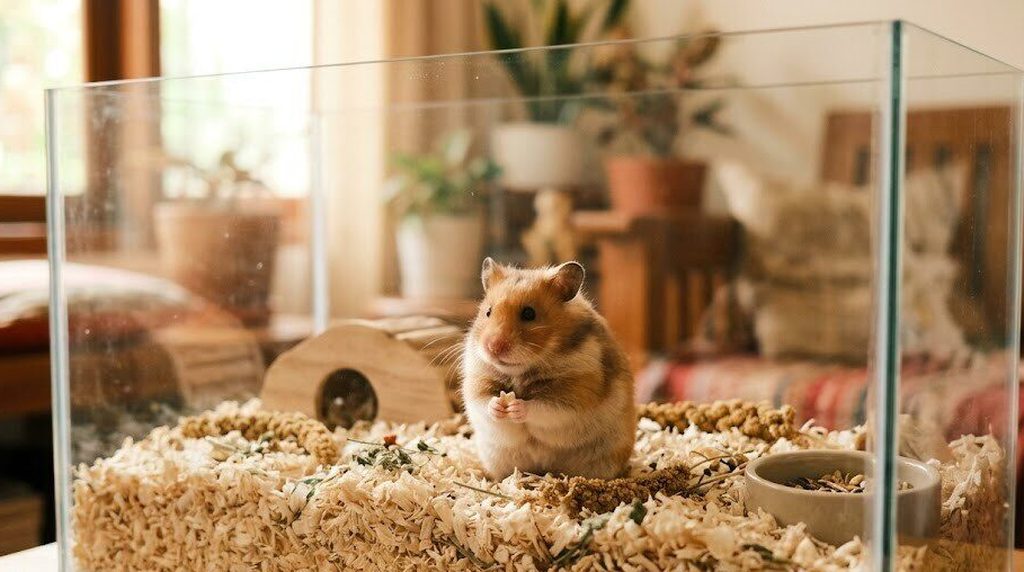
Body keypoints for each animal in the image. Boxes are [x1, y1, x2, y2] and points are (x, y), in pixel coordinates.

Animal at [461, 258, 636, 480]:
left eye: (529, 313)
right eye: (488, 312)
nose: (493, 347)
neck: (521, 371)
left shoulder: (574, 397)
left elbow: (542, 408)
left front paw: (516, 406)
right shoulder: (476, 385)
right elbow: (484, 405)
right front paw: (499, 405)